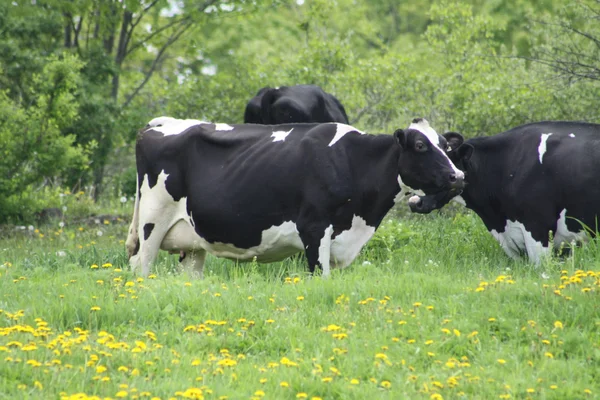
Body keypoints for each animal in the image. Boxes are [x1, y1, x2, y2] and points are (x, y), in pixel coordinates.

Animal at [125, 117, 464, 276]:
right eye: (420, 146)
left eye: (446, 146)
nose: (458, 176)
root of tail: (162, 123)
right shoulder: (314, 229)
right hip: (152, 221)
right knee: (140, 265)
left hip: (192, 241)